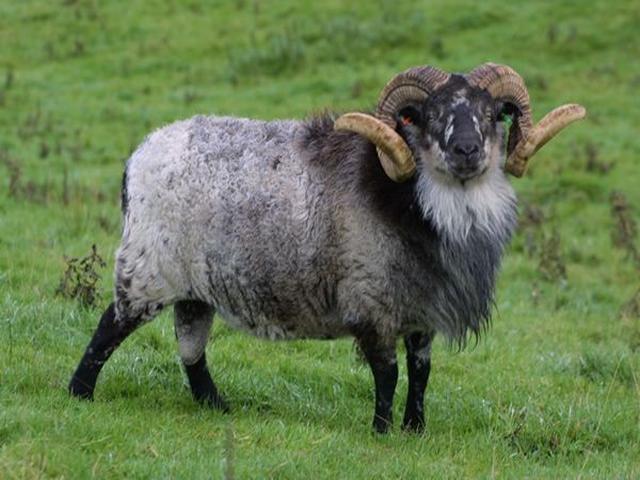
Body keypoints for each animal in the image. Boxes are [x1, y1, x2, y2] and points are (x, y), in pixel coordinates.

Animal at [69, 63, 585, 433]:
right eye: (430, 115)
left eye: (492, 114)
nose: (466, 150)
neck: (415, 205)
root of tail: (138, 156)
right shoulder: (372, 301)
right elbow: (387, 372)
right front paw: (381, 432)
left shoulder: (421, 307)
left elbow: (421, 370)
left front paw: (416, 429)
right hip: (147, 267)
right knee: (109, 327)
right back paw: (79, 394)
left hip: (197, 287)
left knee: (190, 348)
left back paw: (217, 407)